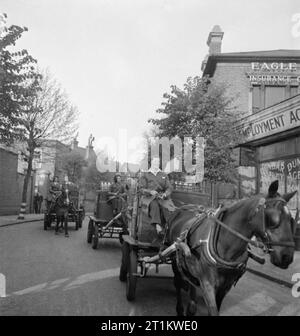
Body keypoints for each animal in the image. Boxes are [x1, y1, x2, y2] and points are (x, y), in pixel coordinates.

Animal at [168, 180, 296, 316]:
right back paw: (180, 308)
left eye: (291, 220)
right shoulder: (207, 284)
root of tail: (181, 209)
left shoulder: (225, 287)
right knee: (177, 282)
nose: (287, 257)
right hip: (175, 262)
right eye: (272, 219)